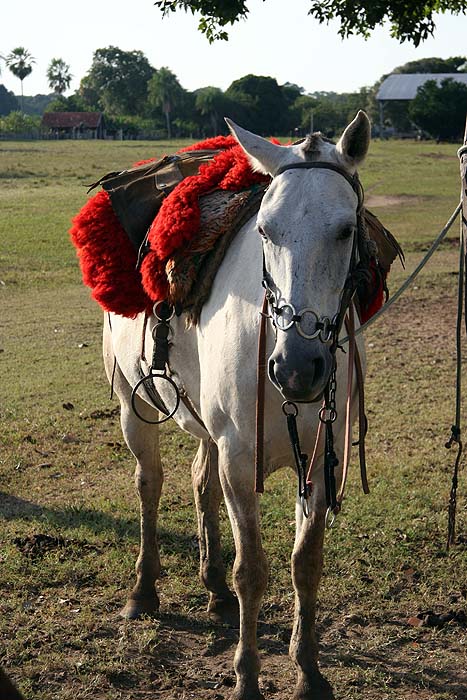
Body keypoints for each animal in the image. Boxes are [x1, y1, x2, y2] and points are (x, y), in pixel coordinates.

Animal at [103, 112, 372, 696]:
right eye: (265, 230)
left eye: (346, 229)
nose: (296, 368)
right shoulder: (239, 459)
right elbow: (252, 571)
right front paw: (247, 676)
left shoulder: (319, 456)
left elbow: (305, 564)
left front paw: (308, 669)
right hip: (135, 408)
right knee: (149, 485)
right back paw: (143, 590)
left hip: (208, 427)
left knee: (198, 480)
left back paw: (213, 588)